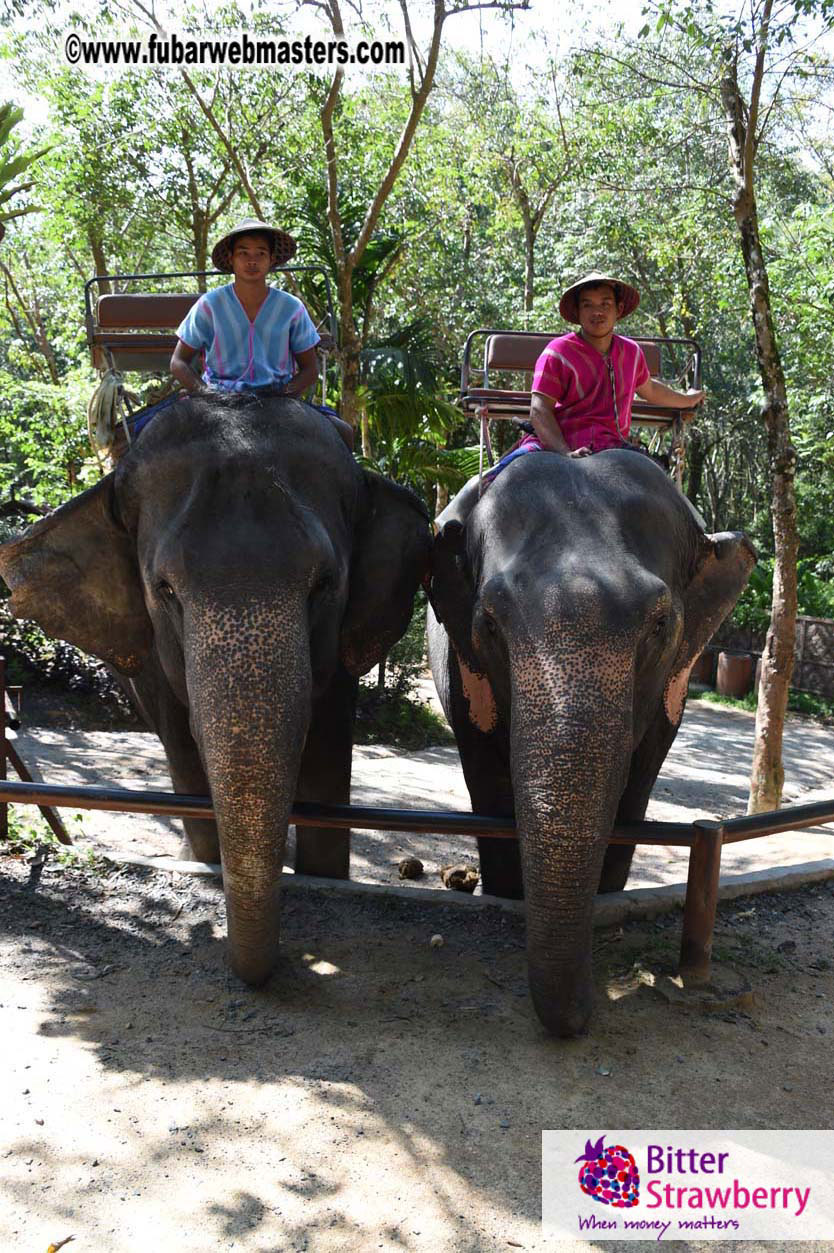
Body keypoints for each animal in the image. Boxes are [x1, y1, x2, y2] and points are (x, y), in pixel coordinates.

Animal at [0, 394, 431, 988]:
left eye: (324, 586)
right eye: (165, 590)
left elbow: (326, 751)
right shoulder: (151, 659)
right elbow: (184, 753)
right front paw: (205, 862)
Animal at [427, 449, 755, 1037]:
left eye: (661, 624)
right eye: (488, 624)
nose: (587, 1010)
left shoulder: (676, 683)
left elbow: (638, 783)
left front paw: (608, 896)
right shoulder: (462, 669)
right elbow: (489, 784)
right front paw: (506, 894)